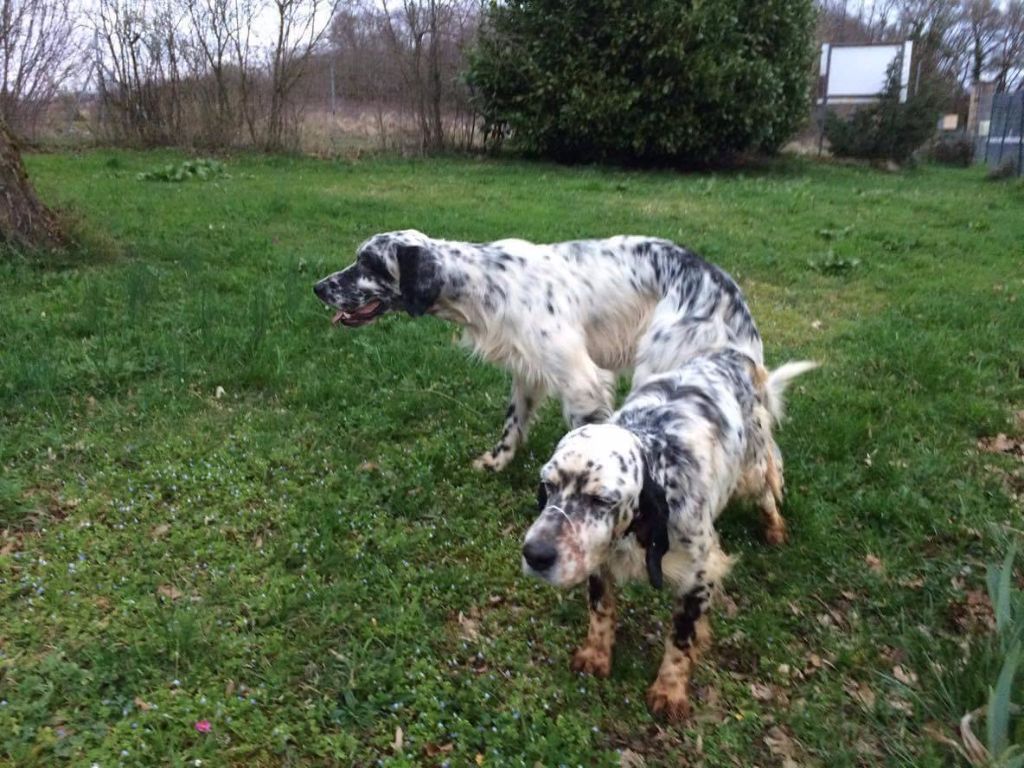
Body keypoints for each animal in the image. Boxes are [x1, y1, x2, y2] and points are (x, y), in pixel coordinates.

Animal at [315, 230, 765, 468]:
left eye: (368, 264)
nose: (319, 287)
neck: (484, 282)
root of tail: (729, 294)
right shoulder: (527, 371)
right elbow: (513, 423)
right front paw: (496, 463)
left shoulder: (582, 380)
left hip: (657, 368)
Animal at [524, 352, 811, 724]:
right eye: (548, 485)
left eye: (601, 500)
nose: (534, 554)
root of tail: (734, 354)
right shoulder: (597, 560)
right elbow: (601, 611)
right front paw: (596, 655)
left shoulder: (699, 575)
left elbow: (681, 639)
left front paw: (669, 691)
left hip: (751, 468)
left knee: (766, 494)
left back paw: (775, 528)